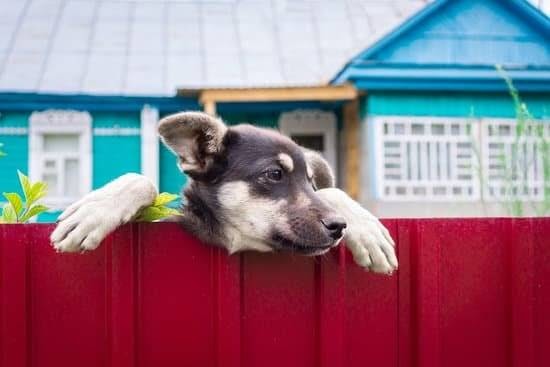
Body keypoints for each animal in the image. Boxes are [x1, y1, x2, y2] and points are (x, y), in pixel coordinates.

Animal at [49, 110, 398, 274]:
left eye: (312, 183)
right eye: (274, 174)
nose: (339, 227)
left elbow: (334, 191)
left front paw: (368, 230)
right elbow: (143, 179)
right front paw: (93, 210)